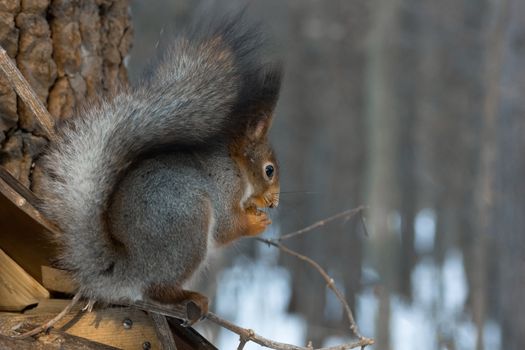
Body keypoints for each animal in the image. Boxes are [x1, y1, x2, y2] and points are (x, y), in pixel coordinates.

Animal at [34, 13, 280, 322]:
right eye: (269, 170)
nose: (274, 203)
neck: (234, 163)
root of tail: (128, 269)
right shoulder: (226, 185)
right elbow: (226, 226)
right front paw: (256, 222)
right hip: (189, 227)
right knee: (158, 289)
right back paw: (191, 297)